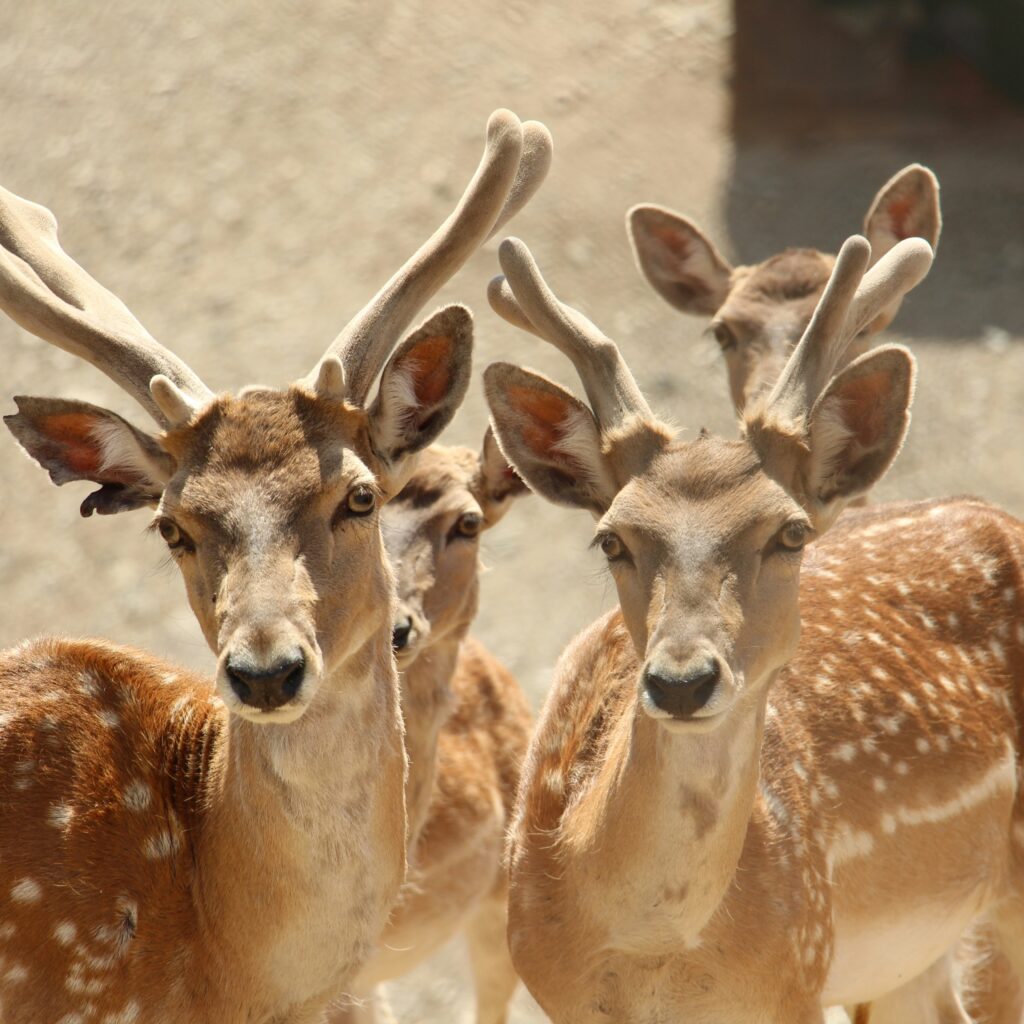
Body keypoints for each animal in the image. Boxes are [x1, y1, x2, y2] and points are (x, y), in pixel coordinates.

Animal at [482, 231, 1024, 1022]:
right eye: (611, 539)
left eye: (790, 533)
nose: (681, 681)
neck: (654, 947)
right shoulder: (554, 991)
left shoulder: (800, 970)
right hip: (908, 960)